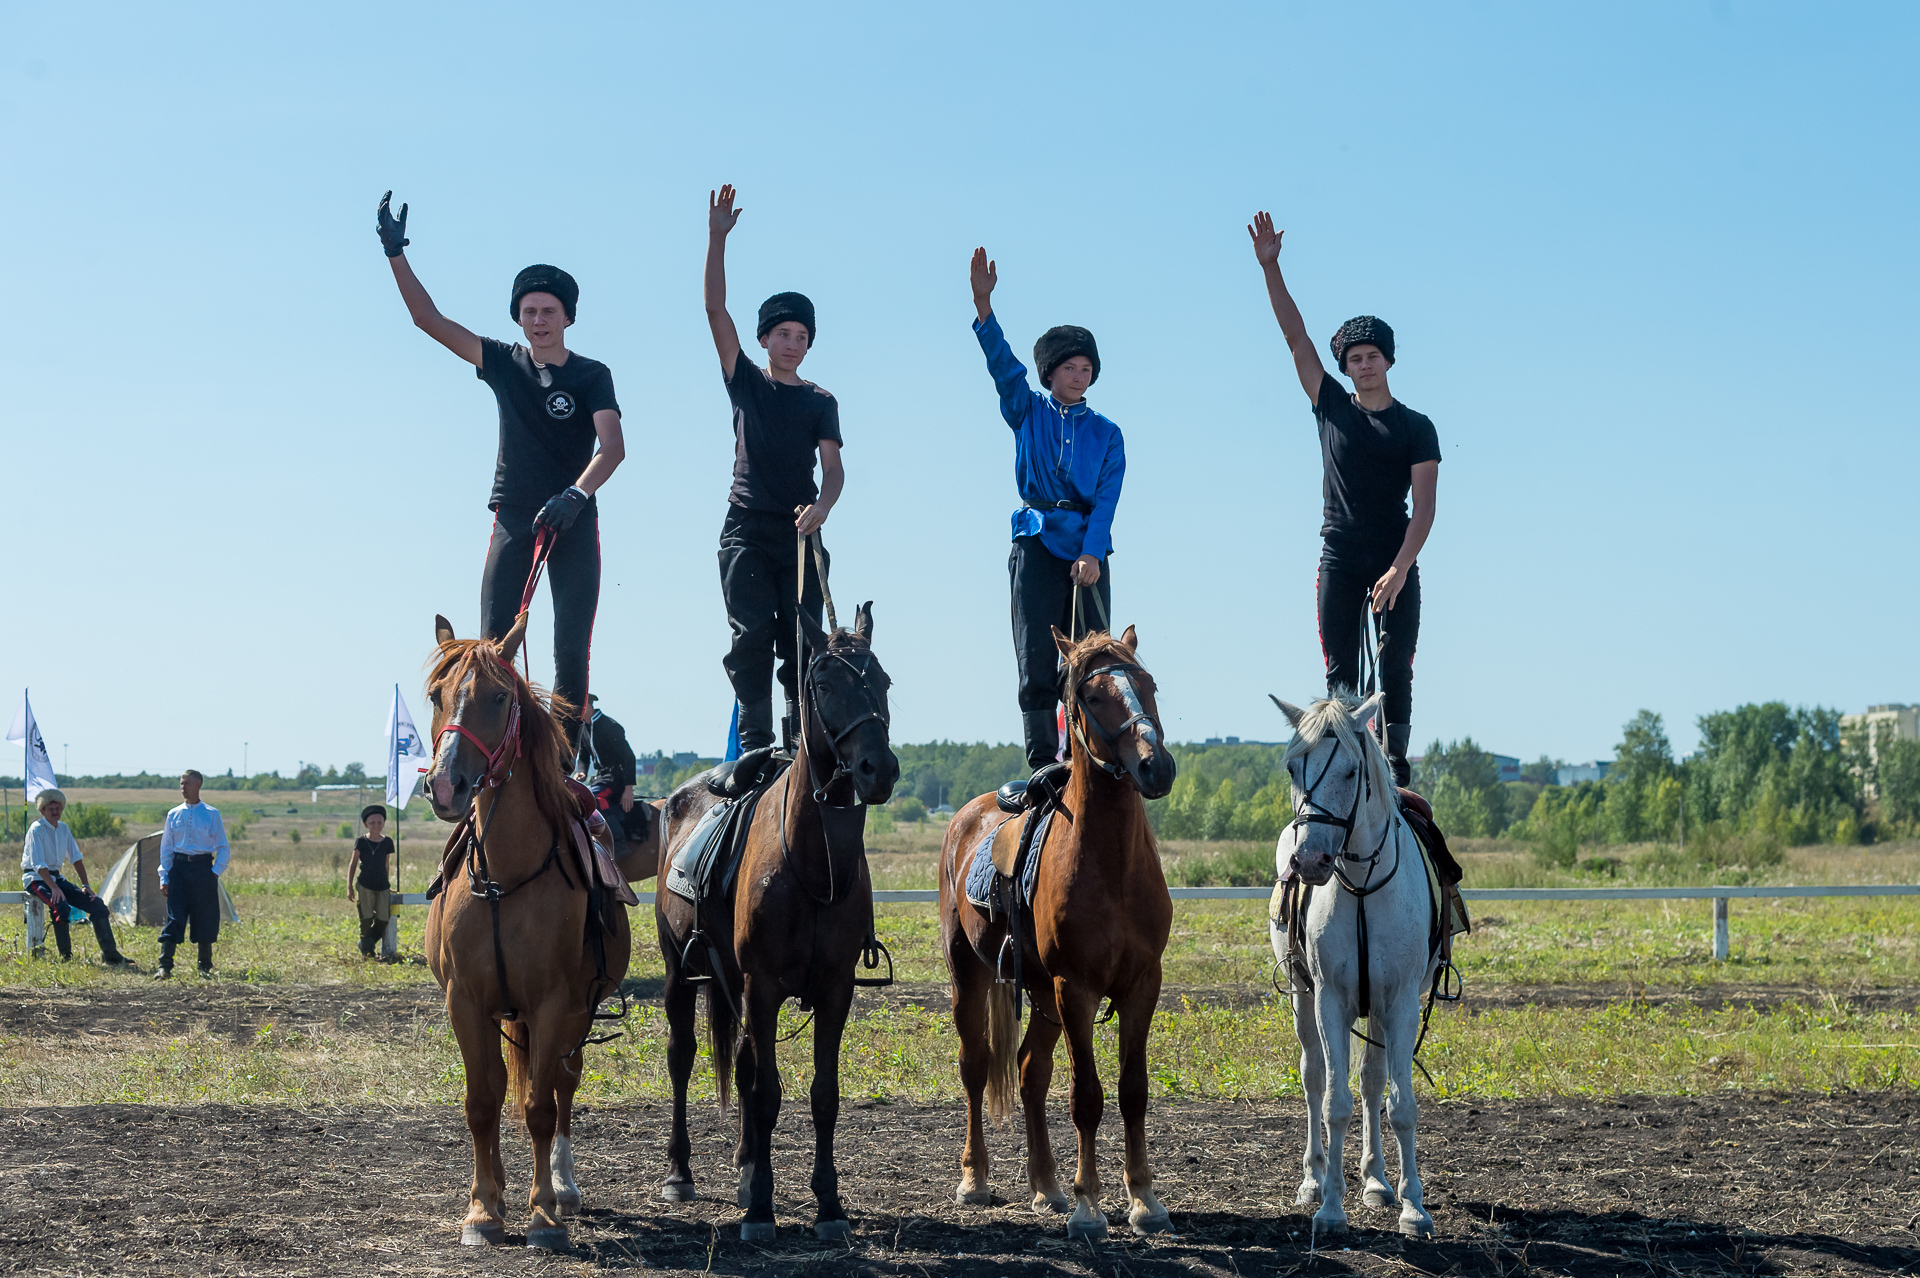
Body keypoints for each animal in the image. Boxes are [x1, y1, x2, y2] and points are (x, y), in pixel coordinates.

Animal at [420, 614, 629, 1251]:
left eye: (497, 697)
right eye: (436, 695)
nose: (446, 785)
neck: (505, 878)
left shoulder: (554, 1002)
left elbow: (540, 1104)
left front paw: (543, 1215)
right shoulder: (466, 1001)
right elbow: (481, 1101)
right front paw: (483, 1208)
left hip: (576, 1012)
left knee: (562, 1085)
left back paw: (561, 1186)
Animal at [660, 602, 898, 1235]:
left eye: (883, 681)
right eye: (825, 684)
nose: (879, 768)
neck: (813, 864)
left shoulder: (836, 989)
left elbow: (822, 1094)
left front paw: (828, 1204)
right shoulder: (762, 987)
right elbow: (766, 1091)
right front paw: (762, 1207)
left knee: (743, 1065)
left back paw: (746, 1164)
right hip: (680, 975)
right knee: (683, 1058)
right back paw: (681, 1172)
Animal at [936, 621, 1175, 1235]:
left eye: (1148, 683)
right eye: (1091, 695)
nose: (1155, 766)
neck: (1112, 866)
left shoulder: (1142, 985)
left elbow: (1132, 1091)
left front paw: (1144, 1198)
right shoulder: (1078, 987)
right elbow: (1086, 1096)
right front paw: (1090, 1204)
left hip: (1042, 994)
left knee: (1029, 1071)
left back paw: (1046, 1185)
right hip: (972, 977)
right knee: (975, 1067)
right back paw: (975, 1179)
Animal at [1267, 686, 1436, 1235]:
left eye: (1350, 770)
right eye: (1294, 767)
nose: (1309, 861)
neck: (1362, 886)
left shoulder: (1399, 1003)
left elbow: (1399, 1104)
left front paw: (1412, 1205)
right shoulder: (1330, 999)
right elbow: (1334, 1103)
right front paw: (1331, 1207)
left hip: (1379, 1011)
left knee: (1372, 1080)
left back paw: (1377, 1180)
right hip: (1302, 1000)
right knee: (1314, 1077)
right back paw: (1314, 1178)